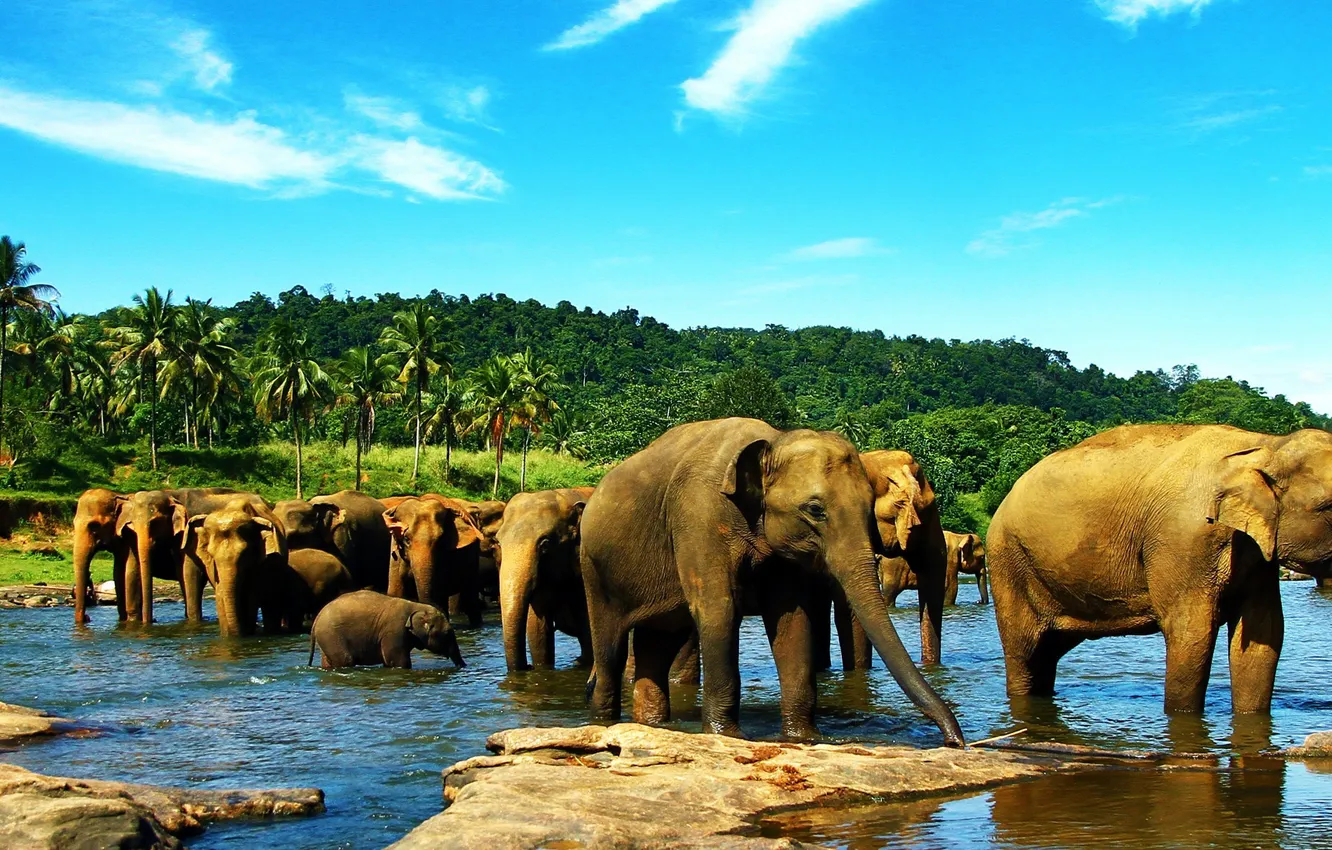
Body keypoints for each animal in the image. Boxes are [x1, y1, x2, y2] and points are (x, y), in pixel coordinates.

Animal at [307, 590, 466, 669]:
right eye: (447, 633)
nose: (463, 667)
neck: (416, 605)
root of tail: (317, 618)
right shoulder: (394, 631)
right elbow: (398, 662)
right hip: (331, 635)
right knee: (346, 661)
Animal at [383, 497, 485, 627]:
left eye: (440, 540)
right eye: (406, 539)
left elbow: (438, 594)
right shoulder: (395, 556)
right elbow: (396, 591)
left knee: (470, 597)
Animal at [579, 417, 964, 744]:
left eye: (870, 507)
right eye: (815, 510)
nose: (954, 741)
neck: (773, 441)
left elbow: (793, 619)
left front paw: (803, 738)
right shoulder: (699, 515)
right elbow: (719, 610)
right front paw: (727, 737)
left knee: (657, 642)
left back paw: (653, 725)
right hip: (593, 571)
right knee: (610, 648)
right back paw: (604, 722)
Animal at [988, 424, 1332, 714]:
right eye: (1329, 506)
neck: (1266, 444)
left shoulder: (1256, 553)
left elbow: (1263, 635)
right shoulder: (1183, 539)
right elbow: (1191, 632)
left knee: (1047, 653)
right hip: (1008, 560)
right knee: (1025, 652)